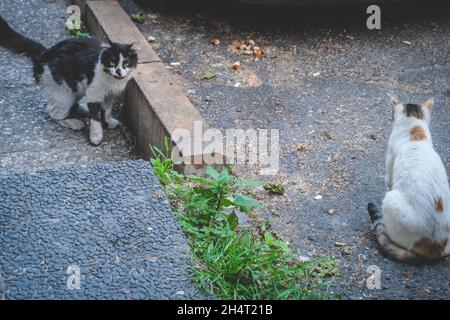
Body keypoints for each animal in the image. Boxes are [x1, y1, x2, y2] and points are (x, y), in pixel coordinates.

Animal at [0, 15, 137, 145]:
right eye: (112, 63)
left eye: (126, 63)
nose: (118, 72)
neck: (113, 81)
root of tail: (43, 54)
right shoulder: (94, 93)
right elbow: (95, 118)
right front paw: (96, 136)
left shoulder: (109, 95)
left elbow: (107, 110)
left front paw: (108, 122)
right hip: (62, 93)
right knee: (54, 114)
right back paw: (74, 122)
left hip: (76, 88)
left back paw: (82, 109)